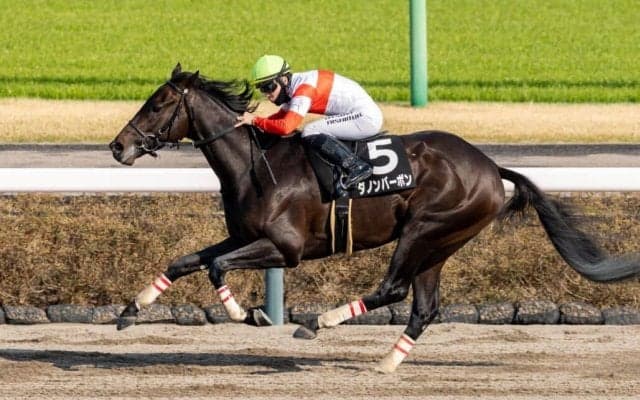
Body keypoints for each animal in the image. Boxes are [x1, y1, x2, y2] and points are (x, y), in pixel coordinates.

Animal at [109, 64, 640, 373]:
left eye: (158, 103)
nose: (118, 146)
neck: (256, 164)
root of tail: (491, 167)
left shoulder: (285, 249)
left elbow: (217, 268)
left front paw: (250, 314)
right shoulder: (243, 235)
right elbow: (185, 261)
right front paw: (131, 310)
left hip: (425, 229)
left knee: (394, 289)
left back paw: (319, 322)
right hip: (440, 244)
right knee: (424, 307)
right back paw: (387, 362)